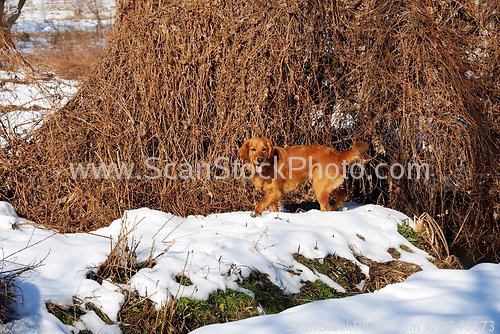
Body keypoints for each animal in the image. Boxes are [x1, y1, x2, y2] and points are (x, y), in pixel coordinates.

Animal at [238, 138, 368, 217]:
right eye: (253, 149)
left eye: (264, 149)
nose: (259, 159)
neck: (268, 165)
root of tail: (337, 153)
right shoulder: (271, 195)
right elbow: (269, 205)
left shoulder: (277, 192)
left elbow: (261, 201)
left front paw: (255, 213)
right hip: (325, 185)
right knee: (341, 194)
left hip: (319, 188)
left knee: (326, 207)